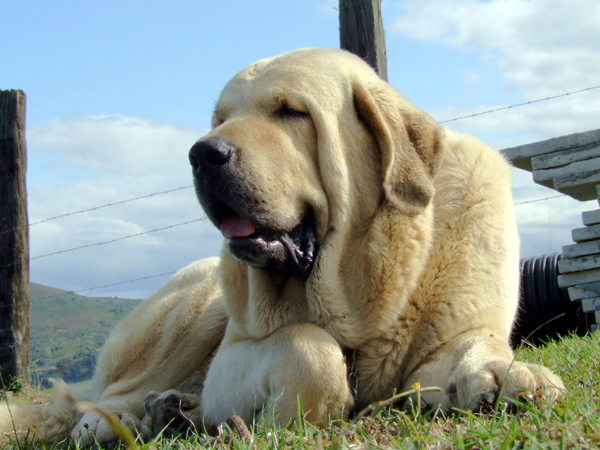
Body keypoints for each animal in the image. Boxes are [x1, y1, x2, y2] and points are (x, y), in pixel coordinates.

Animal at [0, 47, 564, 444]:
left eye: (292, 112)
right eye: (221, 118)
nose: (203, 154)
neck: (361, 290)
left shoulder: (449, 338)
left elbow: (475, 344)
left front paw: (509, 374)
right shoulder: (235, 355)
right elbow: (308, 347)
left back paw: (173, 411)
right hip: (193, 307)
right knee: (107, 393)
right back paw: (118, 420)